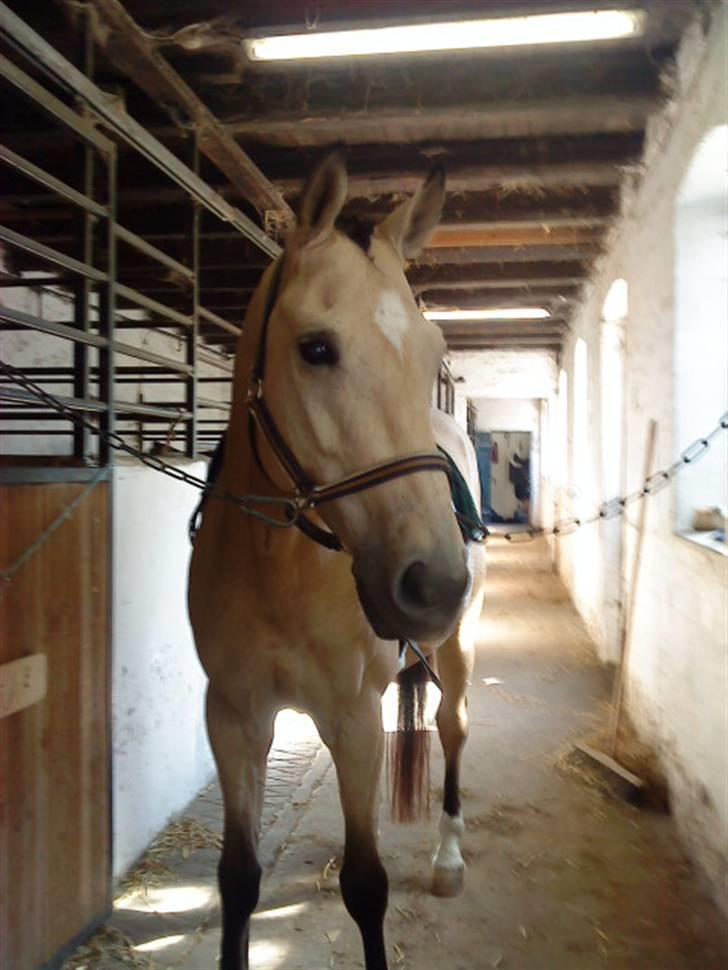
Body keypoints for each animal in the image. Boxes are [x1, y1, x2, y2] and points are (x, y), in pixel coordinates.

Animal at [191, 151, 490, 968]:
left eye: (430, 357)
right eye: (316, 348)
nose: (435, 582)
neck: (279, 567)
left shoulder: (353, 719)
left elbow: (365, 885)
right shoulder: (234, 716)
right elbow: (237, 879)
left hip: (459, 647)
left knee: (452, 726)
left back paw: (449, 859)